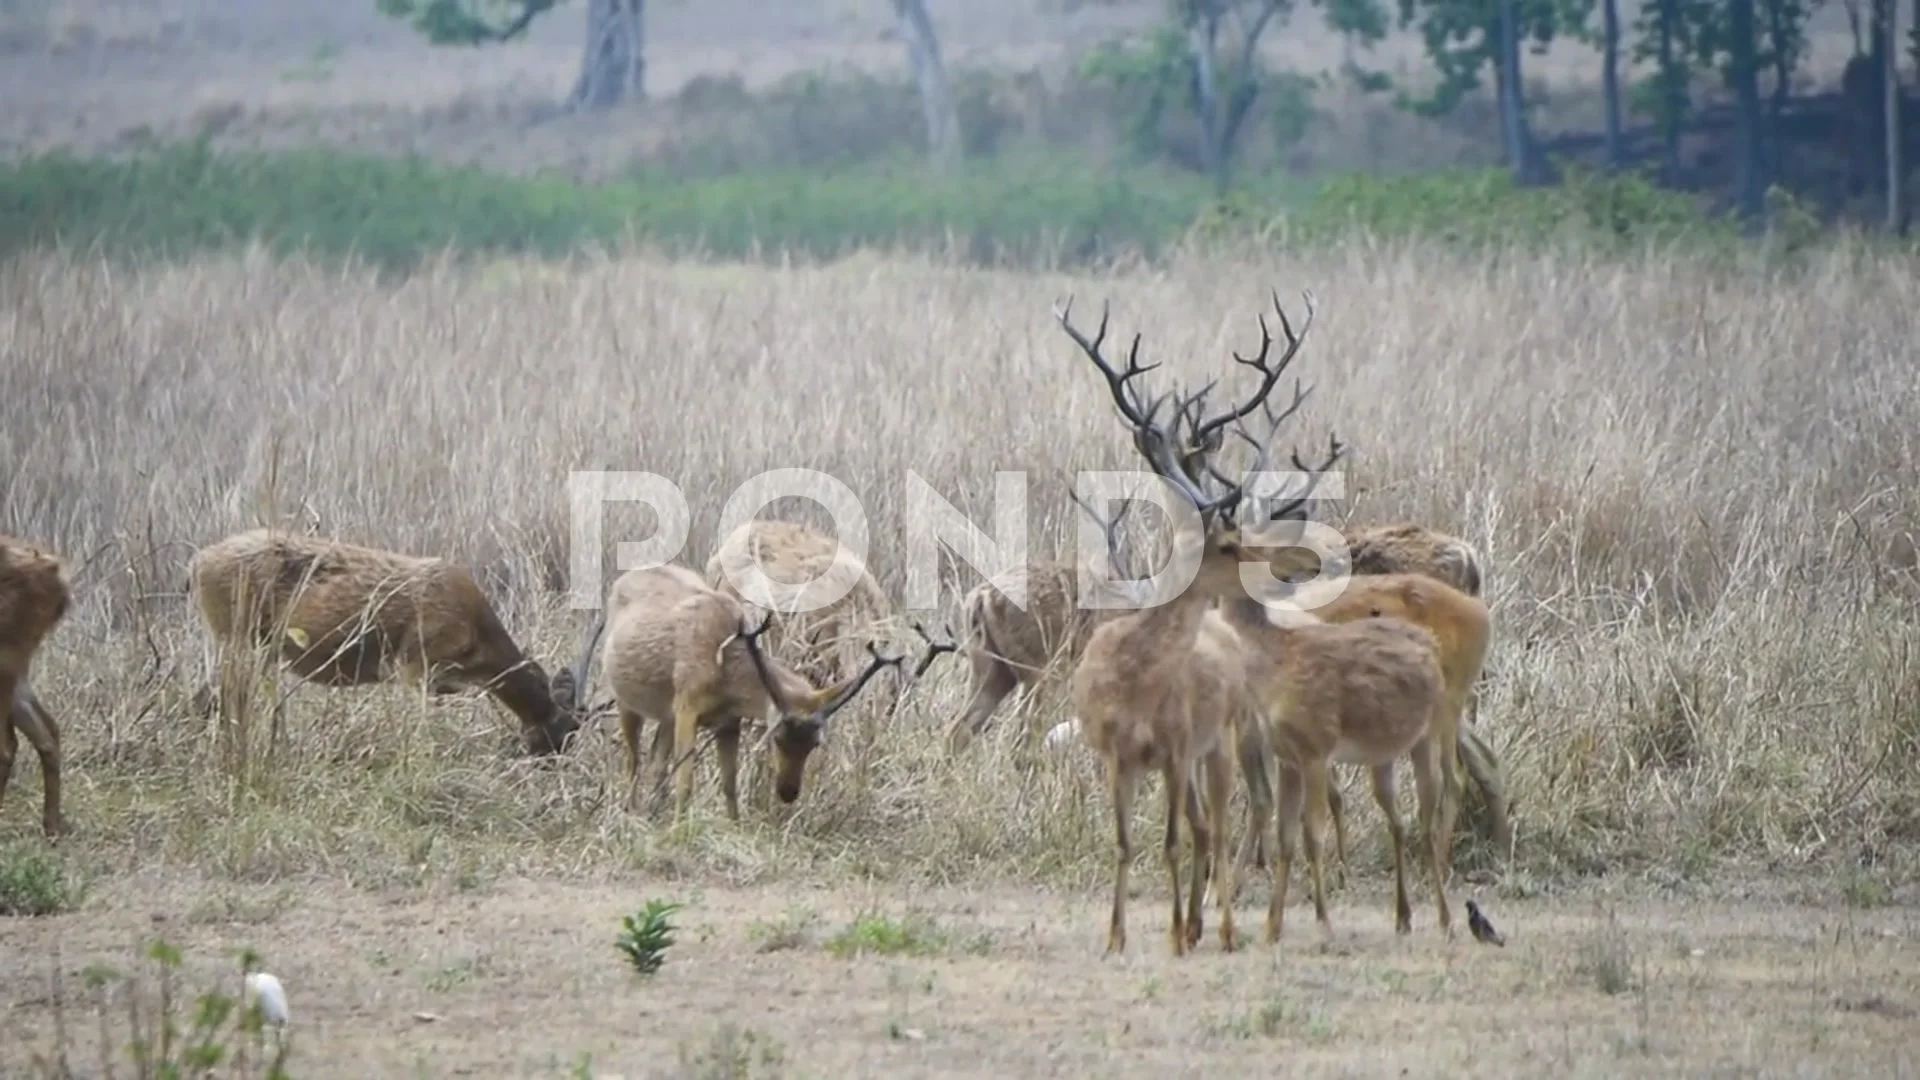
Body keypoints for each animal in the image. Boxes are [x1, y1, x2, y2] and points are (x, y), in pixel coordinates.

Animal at [191, 526, 591, 753]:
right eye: (566, 727)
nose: (549, 760)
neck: (478, 636)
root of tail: (197, 562)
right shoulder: (414, 663)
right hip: (236, 638)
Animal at [576, 557, 952, 818]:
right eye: (777, 736)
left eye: (816, 743)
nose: (787, 792)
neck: (725, 668)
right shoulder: (686, 704)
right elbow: (686, 779)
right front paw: (681, 828)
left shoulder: (727, 721)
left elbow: (729, 783)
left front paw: (734, 825)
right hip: (625, 699)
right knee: (633, 760)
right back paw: (631, 812)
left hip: (663, 713)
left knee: (656, 761)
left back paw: (651, 812)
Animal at [1052, 290, 1351, 953]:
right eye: (1229, 544)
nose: (1303, 564)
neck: (1134, 682)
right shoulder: (1116, 755)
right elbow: (1125, 842)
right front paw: (1116, 937)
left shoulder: (1178, 747)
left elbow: (1175, 838)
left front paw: (1177, 931)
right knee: (1215, 823)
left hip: (1220, 745)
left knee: (1215, 823)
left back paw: (1220, 925)